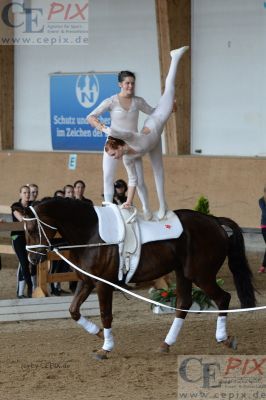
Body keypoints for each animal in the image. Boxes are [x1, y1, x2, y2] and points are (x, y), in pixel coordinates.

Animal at [22, 197, 256, 360]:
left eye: (33, 228)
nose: (33, 259)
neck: (91, 233)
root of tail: (214, 221)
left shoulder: (103, 285)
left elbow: (106, 315)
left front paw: (105, 348)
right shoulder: (87, 282)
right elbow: (73, 311)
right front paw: (99, 334)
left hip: (201, 275)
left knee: (223, 298)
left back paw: (224, 339)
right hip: (183, 272)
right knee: (183, 304)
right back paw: (165, 344)